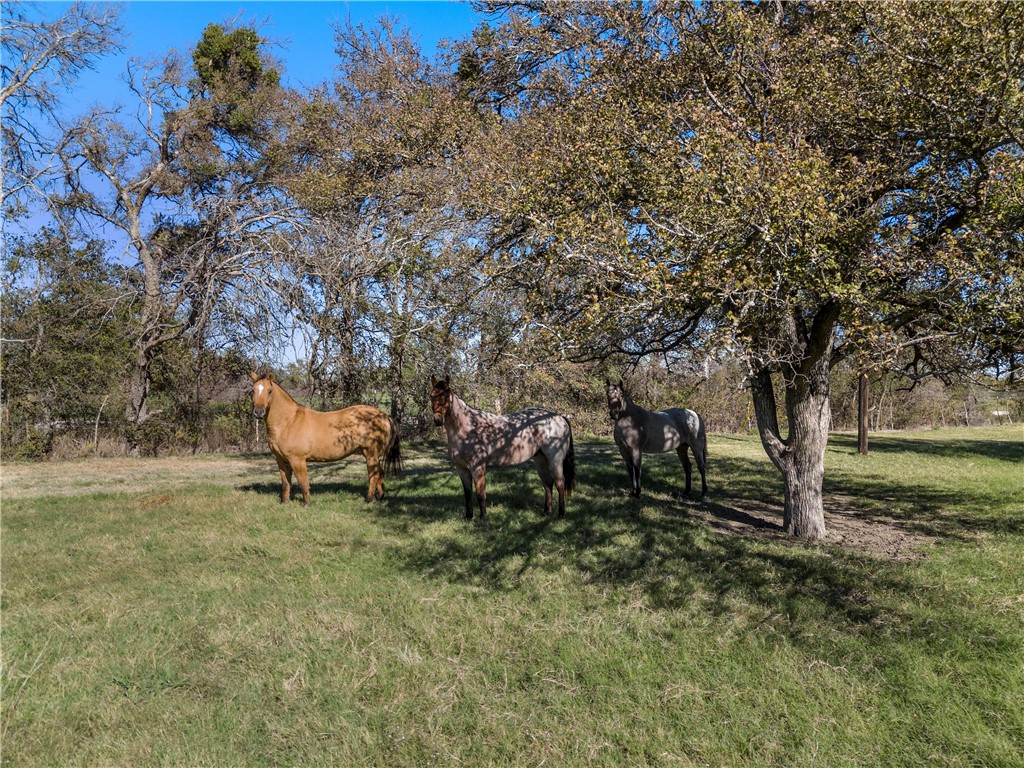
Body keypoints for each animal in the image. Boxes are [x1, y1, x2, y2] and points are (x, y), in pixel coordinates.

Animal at [249, 372, 401, 505]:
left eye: (269, 391)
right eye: (253, 391)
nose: (258, 412)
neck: (288, 421)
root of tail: (383, 415)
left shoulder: (297, 460)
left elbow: (303, 482)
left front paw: (306, 503)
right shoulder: (281, 460)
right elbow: (286, 483)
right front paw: (285, 503)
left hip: (371, 454)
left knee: (374, 476)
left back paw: (369, 499)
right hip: (369, 454)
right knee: (380, 473)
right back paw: (380, 497)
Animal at [430, 374, 577, 520]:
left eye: (446, 396)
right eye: (431, 396)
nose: (438, 420)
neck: (466, 428)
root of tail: (559, 417)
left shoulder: (478, 468)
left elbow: (480, 494)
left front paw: (483, 518)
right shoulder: (461, 469)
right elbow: (467, 494)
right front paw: (468, 516)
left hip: (555, 459)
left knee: (559, 483)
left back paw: (561, 513)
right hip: (540, 459)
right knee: (548, 483)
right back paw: (547, 511)